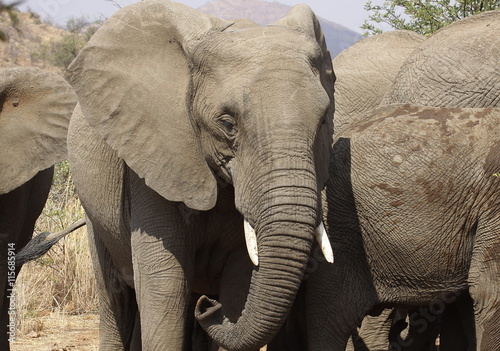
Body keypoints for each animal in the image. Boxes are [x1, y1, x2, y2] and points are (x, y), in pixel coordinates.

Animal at [64, 1, 334, 350]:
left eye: (323, 121)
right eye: (228, 123)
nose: (208, 306)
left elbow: (240, 281)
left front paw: (223, 307)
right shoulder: (155, 158)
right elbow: (165, 282)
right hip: (95, 215)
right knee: (115, 297)